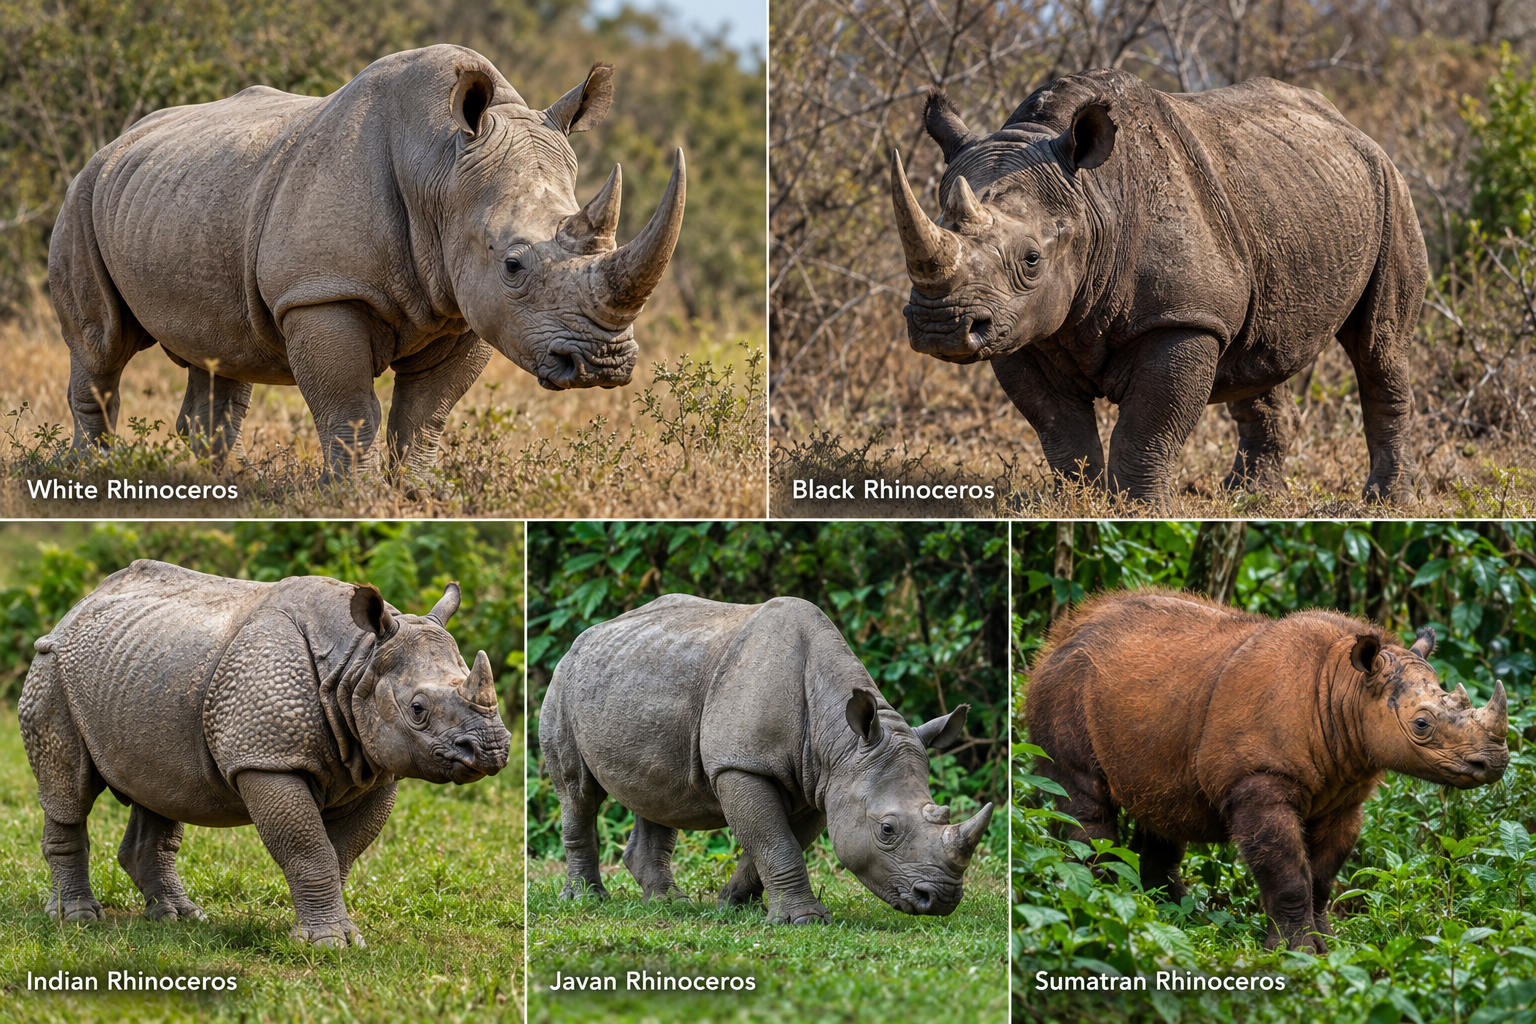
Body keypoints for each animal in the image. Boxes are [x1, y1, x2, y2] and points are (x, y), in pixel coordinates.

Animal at [18, 560, 511, 948]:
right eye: (418, 710)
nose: (492, 749)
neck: (357, 661)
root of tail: (75, 609)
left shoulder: (376, 767)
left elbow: (338, 854)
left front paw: (329, 934)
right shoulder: (268, 761)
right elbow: (310, 850)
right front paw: (329, 944)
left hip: (144, 673)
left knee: (162, 789)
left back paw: (180, 918)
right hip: (53, 667)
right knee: (69, 792)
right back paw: (77, 919)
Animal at [49, 44, 685, 476]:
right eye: (513, 266)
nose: (603, 363)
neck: (441, 169)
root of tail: (118, 140)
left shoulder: (466, 308)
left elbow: (423, 417)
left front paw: (415, 495)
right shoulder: (323, 291)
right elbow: (352, 411)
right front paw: (351, 496)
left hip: (185, 194)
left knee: (220, 354)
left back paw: (219, 482)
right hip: (83, 196)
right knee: (103, 343)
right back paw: (89, 474)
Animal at [540, 594, 995, 923]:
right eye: (887, 829)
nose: (941, 899)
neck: (842, 743)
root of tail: (582, 638)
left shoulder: (823, 783)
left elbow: (779, 841)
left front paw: (735, 906)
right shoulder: (741, 765)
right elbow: (776, 842)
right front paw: (804, 921)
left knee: (657, 794)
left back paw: (671, 905)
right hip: (563, 680)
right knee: (578, 792)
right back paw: (586, 900)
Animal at [890, 70, 1429, 510]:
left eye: (1031, 259)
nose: (940, 326)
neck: (1093, 201)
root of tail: (1350, 126)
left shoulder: (1183, 317)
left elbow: (1148, 425)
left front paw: (1139, 510)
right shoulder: (1020, 325)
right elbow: (1058, 427)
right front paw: (1080, 503)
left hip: (1390, 190)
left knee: (1378, 346)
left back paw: (1386, 502)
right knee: (1259, 353)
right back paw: (1249, 498)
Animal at [1027, 590, 1509, 952]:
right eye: (1422, 725)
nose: (1494, 762)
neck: (1346, 689)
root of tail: (1059, 635)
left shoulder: (1345, 797)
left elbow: (1321, 878)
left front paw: (1330, 946)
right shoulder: (1258, 781)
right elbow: (1288, 875)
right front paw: (1294, 953)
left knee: (1161, 810)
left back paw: (1177, 918)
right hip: (1063, 685)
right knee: (1083, 796)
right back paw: (1097, 903)